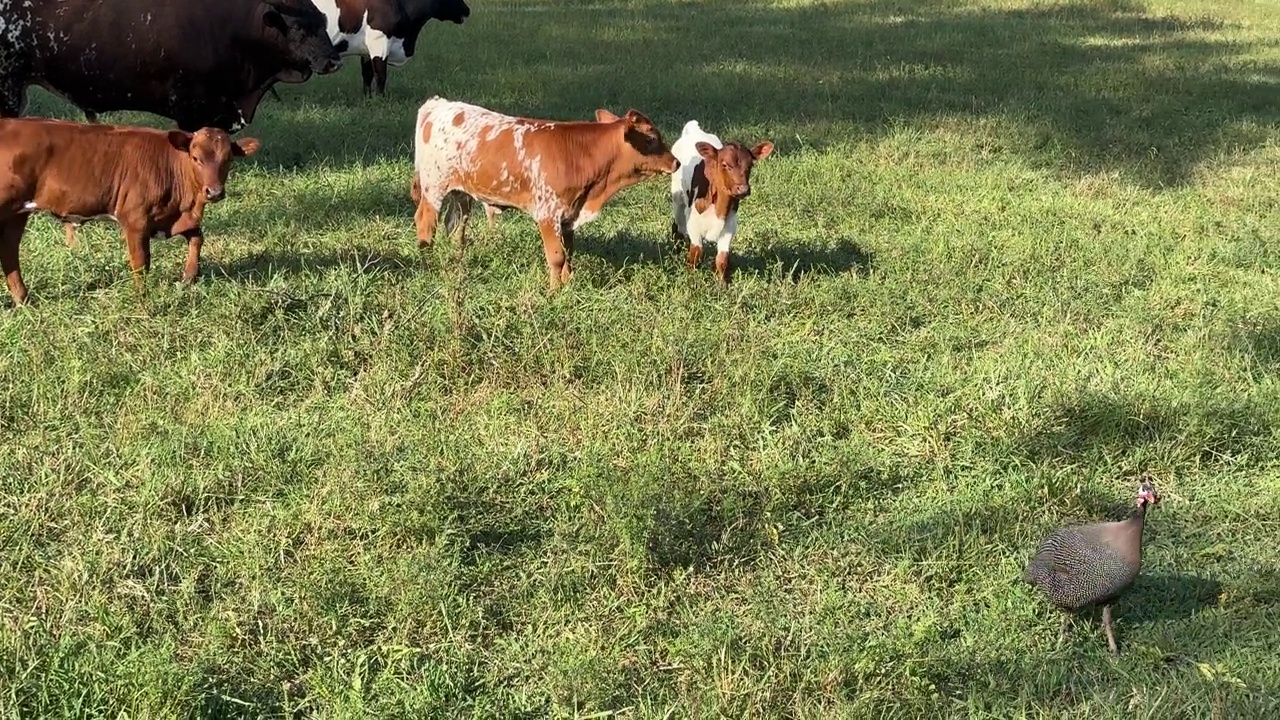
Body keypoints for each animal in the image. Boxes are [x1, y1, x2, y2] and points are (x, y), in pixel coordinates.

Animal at [0, 119, 257, 303]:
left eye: (229, 159)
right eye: (196, 158)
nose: (214, 192)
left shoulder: (173, 219)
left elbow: (197, 237)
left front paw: (189, 276)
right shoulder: (135, 220)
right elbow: (141, 262)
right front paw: (141, 299)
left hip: (17, 213)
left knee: (9, 252)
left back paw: (24, 300)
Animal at [313, 0, 471, 96]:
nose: (468, 10)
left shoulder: (366, 50)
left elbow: (367, 74)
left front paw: (367, 98)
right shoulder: (379, 42)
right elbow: (380, 75)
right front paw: (379, 99)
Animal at [412, 96, 680, 289]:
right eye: (651, 138)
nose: (676, 162)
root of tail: (438, 103)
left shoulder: (568, 216)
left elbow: (569, 252)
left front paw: (568, 284)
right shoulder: (547, 214)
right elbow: (557, 256)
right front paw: (554, 291)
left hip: (461, 193)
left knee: (455, 226)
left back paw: (457, 259)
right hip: (433, 187)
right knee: (425, 222)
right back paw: (426, 262)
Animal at [670, 120, 768, 283]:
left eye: (750, 165)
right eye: (725, 164)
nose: (743, 189)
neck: (719, 208)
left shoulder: (730, 225)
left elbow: (722, 258)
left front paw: (722, 283)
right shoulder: (693, 222)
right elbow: (696, 252)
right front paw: (691, 278)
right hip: (677, 196)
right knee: (677, 226)